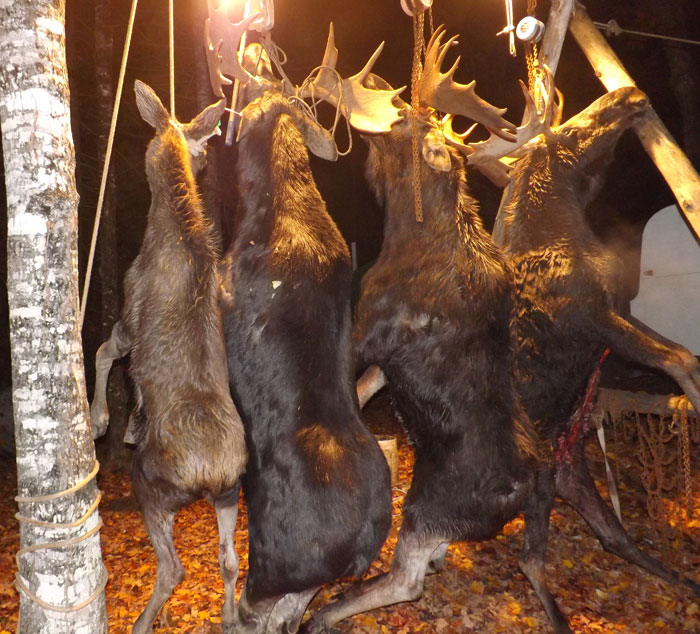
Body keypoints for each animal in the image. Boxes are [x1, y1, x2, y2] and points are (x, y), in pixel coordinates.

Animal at [89, 80, 247, 634]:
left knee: (175, 567)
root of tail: (207, 472)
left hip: (153, 486)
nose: (201, 161)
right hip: (231, 490)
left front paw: (102, 419)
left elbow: (103, 351)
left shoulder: (130, 315)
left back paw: (139, 623)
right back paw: (230, 617)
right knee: (230, 558)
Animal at [304, 29, 700, 634]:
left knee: (409, 579)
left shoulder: (366, 329)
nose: (380, 109)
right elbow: (365, 391)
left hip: (428, 510)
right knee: (563, 548)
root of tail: (517, 487)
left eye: (403, 119)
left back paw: (321, 611)